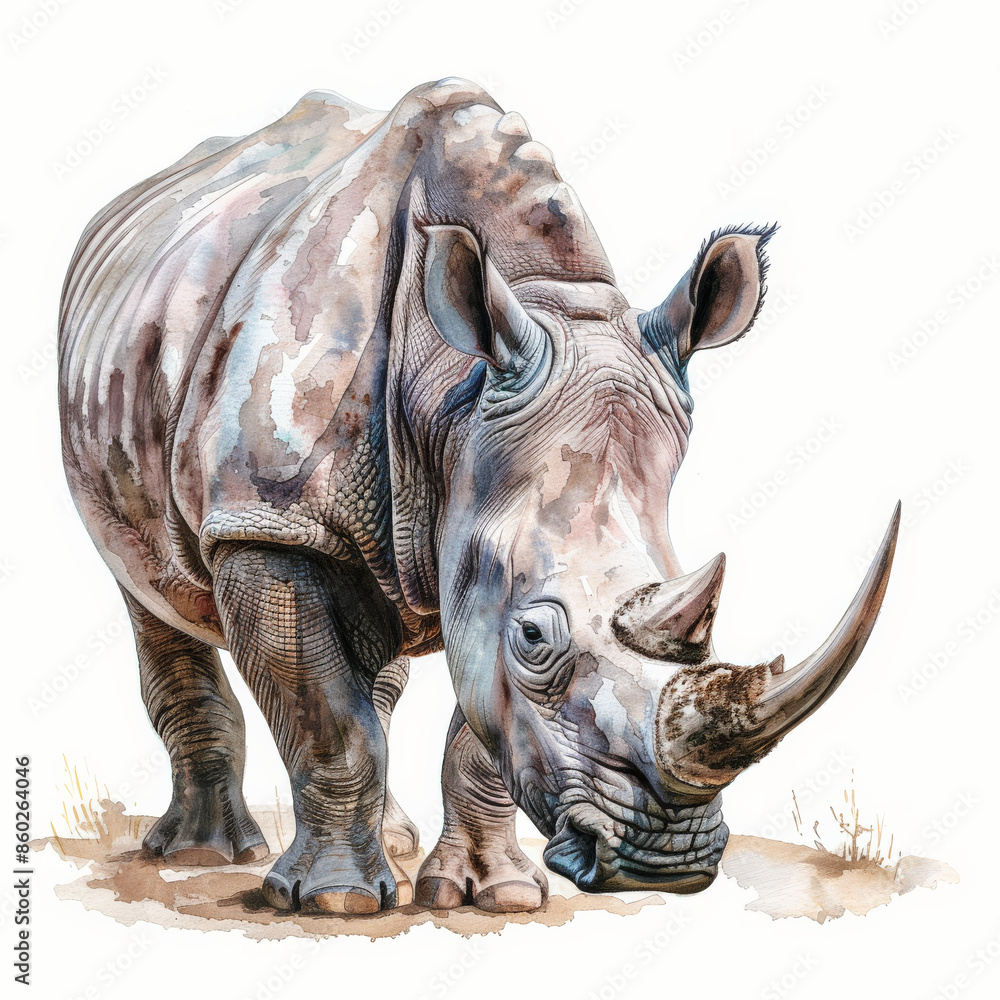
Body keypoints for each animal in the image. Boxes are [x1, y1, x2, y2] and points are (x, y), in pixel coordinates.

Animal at [58, 78, 898, 914]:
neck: (450, 401)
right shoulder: (268, 519)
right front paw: (336, 902)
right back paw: (204, 853)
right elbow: (329, 722)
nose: (667, 863)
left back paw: (392, 843)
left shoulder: (478, 539)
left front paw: (495, 894)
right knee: (152, 595)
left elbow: (477, 733)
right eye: (533, 637)